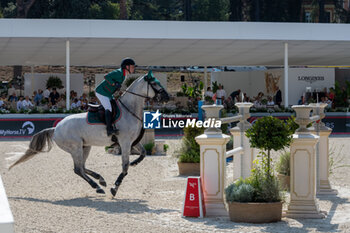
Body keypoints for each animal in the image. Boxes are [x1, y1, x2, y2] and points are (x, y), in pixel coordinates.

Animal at [8, 71, 170, 197]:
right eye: (155, 83)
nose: (167, 97)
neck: (129, 110)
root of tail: (56, 128)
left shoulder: (131, 142)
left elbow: (143, 153)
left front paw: (134, 162)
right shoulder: (124, 142)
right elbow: (124, 167)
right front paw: (115, 188)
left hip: (85, 146)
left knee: (82, 167)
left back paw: (100, 180)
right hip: (75, 148)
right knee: (78, 169)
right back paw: (97, 186)